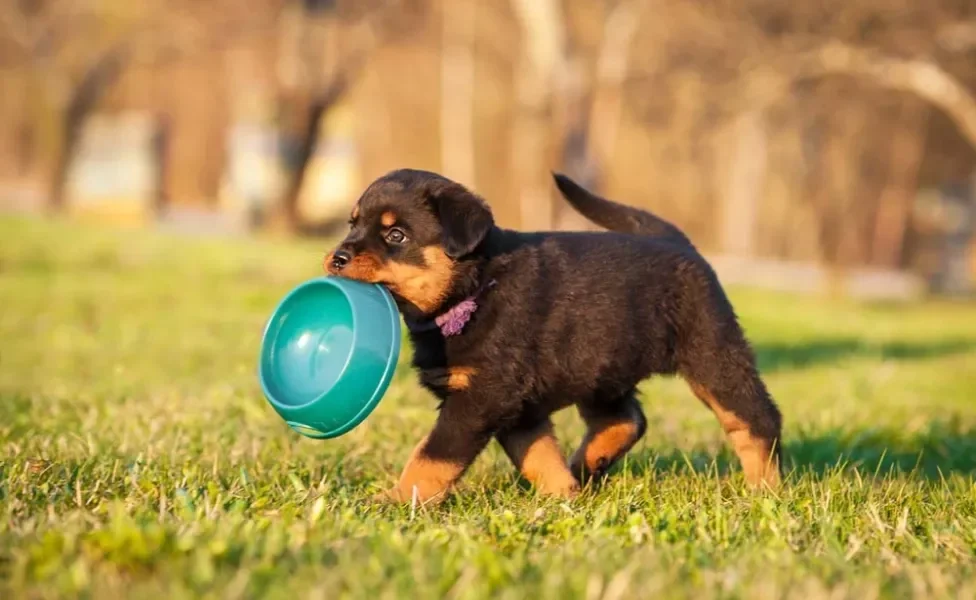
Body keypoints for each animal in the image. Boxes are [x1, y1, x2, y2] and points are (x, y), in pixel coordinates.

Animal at [324, 169, 780, 502]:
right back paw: (587, 465)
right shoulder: (517, 405)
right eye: (352, 224)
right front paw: (564, 497)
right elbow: (539, 456)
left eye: (395, 235)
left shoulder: (483, 396)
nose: (337, 257)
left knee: (756, 419)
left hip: (711, 352)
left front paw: (396, 500)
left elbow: (432, 455)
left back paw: (766, 489)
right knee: (626, 419)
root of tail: (677, 240)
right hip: (603, 366)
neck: (474, 288)